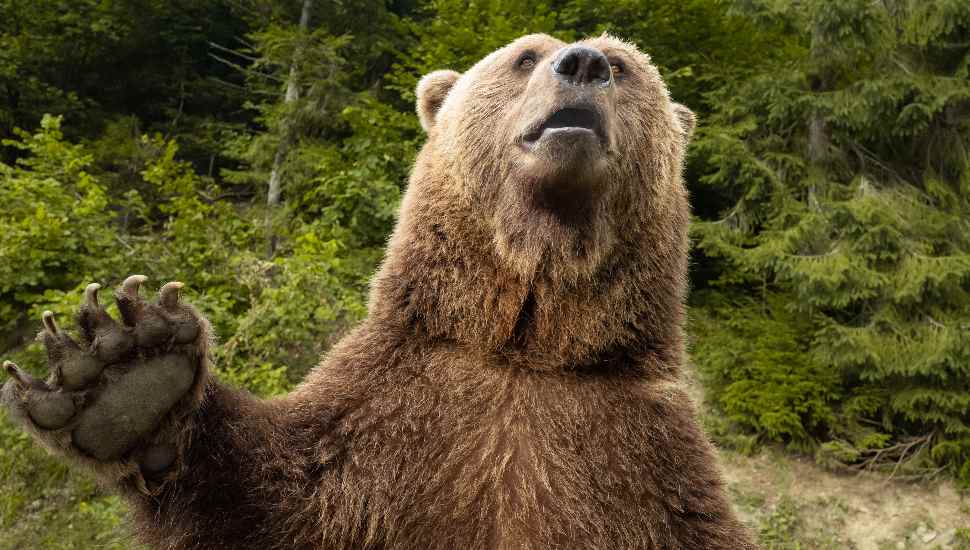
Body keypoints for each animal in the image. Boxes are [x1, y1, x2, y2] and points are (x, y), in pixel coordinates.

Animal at [2, 34, 757, 549]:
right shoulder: (385, 428)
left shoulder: (645, 465)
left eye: (624, 65)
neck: (526, 345)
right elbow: (265, 497)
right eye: (524, 57)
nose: (583, 64)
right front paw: (125, 371)